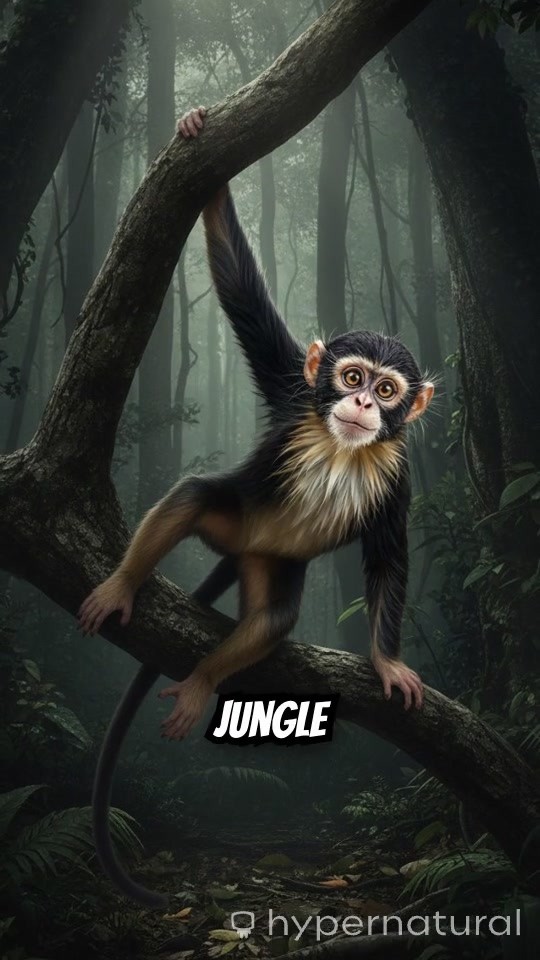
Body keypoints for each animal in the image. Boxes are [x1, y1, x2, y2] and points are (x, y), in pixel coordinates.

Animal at [78, 106, 434, 907]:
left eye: (388, 390)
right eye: (352, 376)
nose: (364, 405)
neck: (340, 447)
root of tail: (244, 551)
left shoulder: (398, 475)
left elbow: (389, 554)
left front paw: (388, 660)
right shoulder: (291, 388)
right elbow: (242, 295)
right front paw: (204, 157)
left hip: (270, 562)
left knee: (273, 619)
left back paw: (206, 678)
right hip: (233, 519)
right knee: (191, 497)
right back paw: (123, 583)